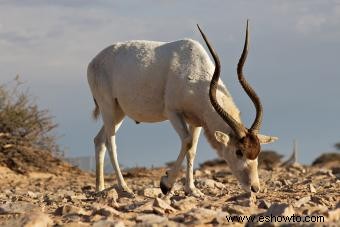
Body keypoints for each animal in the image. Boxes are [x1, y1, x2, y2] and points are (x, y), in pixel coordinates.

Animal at [87, 22, 278, 198]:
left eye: (257, 152)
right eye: (239, 151)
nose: (254, 188)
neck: (195, 71)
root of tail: (93, 62)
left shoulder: (197, 121)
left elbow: (192, 149)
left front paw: (192, 190)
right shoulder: (173, 112)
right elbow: (186, 142)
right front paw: (166, 184)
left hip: (119, 112)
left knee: (99, 140)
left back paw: (100, 188)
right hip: (108, 107)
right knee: (111, 142)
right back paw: (124, 188)